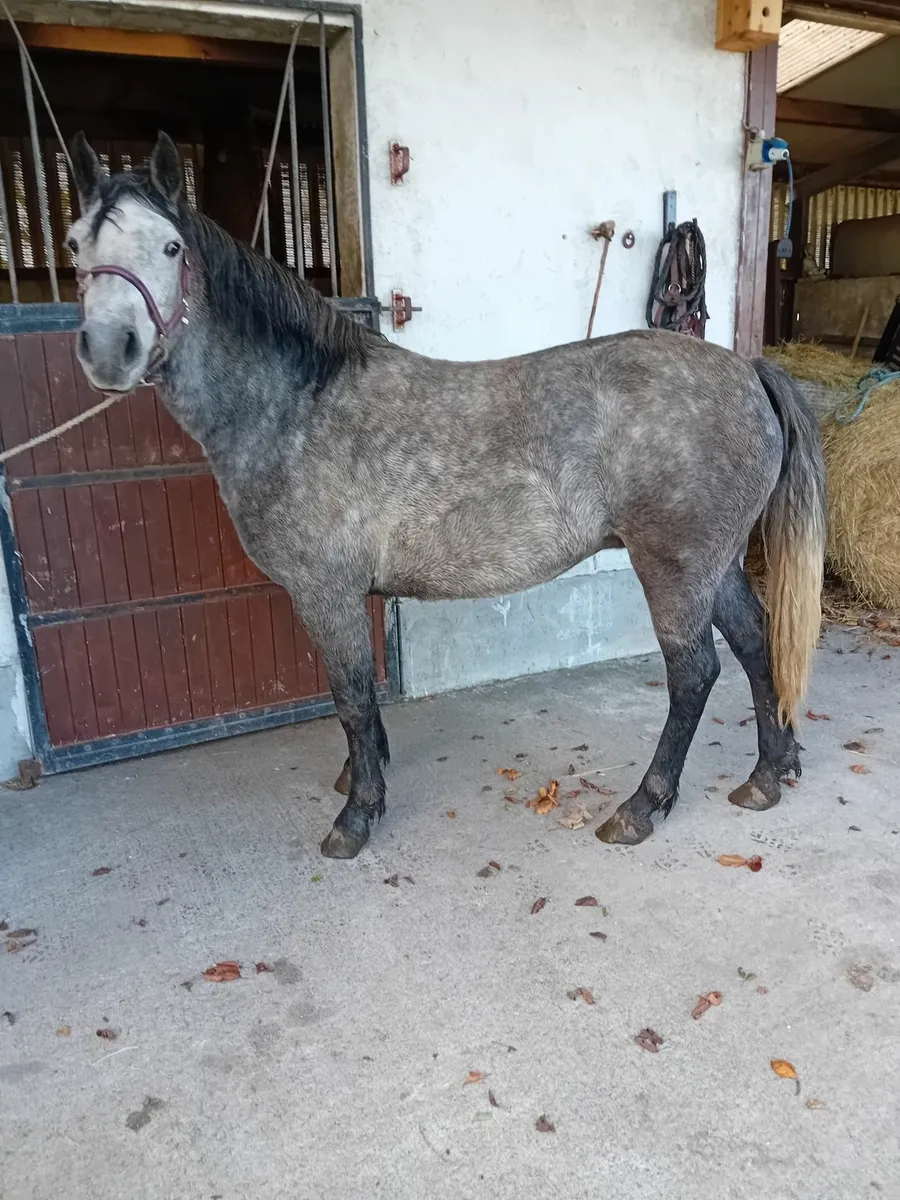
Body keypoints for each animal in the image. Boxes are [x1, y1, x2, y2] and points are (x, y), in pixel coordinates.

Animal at [66, 131, 826, 859]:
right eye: (76, 245)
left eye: (170, 247)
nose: (109, 350)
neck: (298, 402)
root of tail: (748, 371)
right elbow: (360, 701)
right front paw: (361, 774)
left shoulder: (324, 590)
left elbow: (349, 696)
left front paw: (357, 815)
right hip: (716, 565)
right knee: (756, 644)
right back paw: (767, 774)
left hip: (675, 568)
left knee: (694, 673)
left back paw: (641, 807)